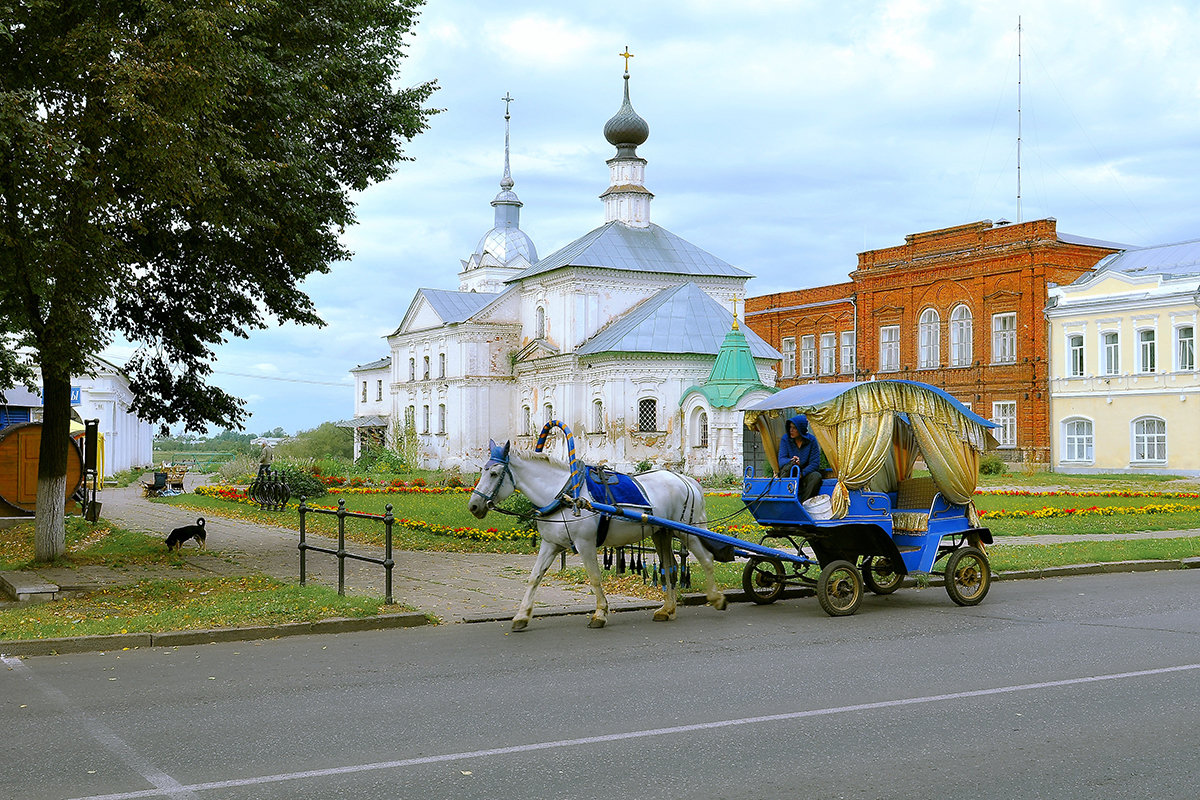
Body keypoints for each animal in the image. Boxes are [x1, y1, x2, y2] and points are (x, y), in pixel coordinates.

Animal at [468, 438, 729, 633]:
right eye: (483, 470)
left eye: (494, 473)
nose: (473, 506)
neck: (564, 495)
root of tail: (685, 479)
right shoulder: (550, 544)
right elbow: (534, 578)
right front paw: (522, 616)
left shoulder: (585, 544)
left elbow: (594, 578)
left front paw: (600, 614)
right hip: (661, 533)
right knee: (670, 568)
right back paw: (668, 609)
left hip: (686, 531)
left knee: (705, 559)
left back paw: (717, 598)